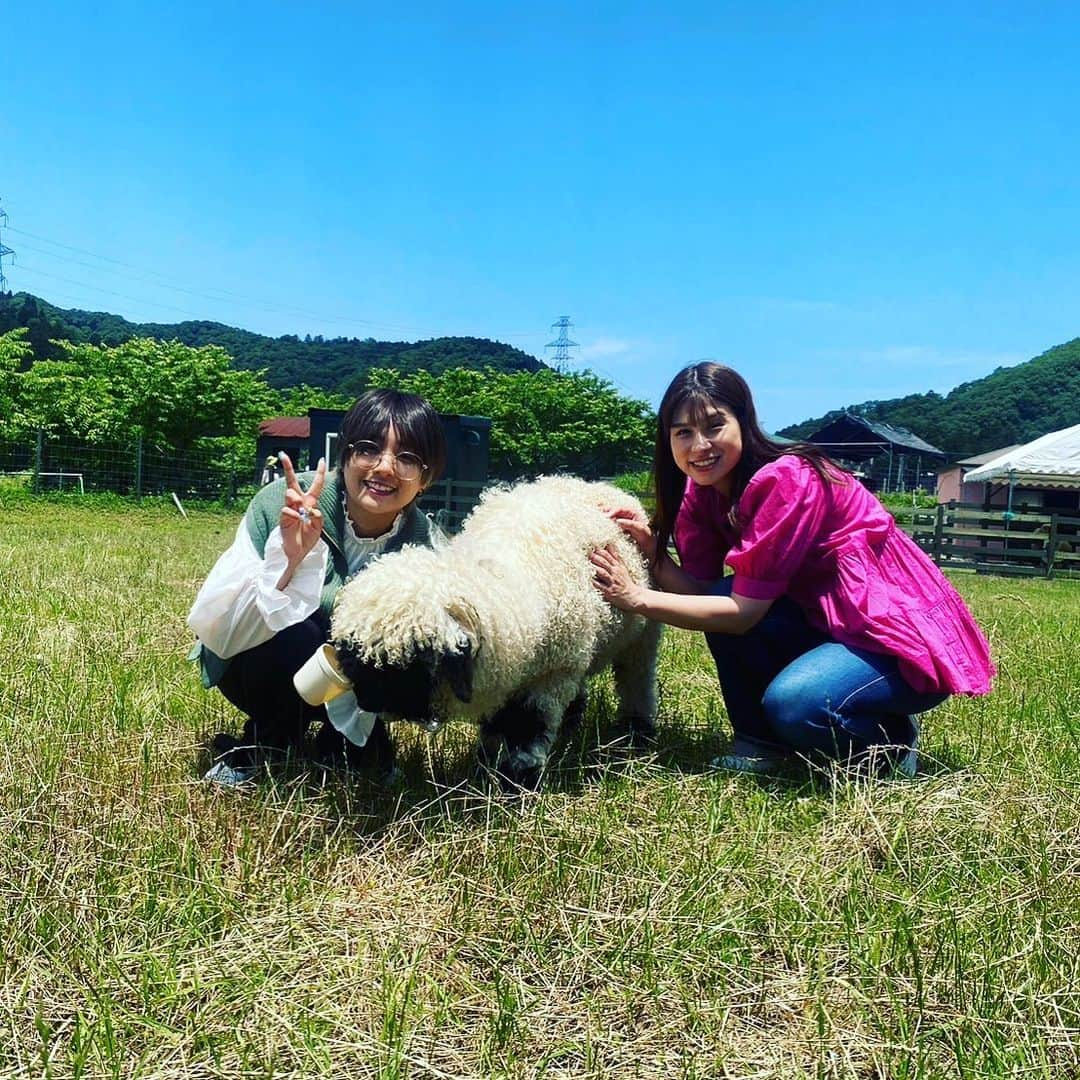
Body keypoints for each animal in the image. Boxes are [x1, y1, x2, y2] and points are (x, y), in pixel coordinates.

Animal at [328, 477, 660, 790]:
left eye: (411, 663)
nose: (365, 702)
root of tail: (596, 485)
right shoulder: (503, 672)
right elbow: (494, 732)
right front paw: (484, 769)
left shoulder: (550, 677)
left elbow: (527, 736)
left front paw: (518, 786)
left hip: (641, 639)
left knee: (637, 680)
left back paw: (638, 730)